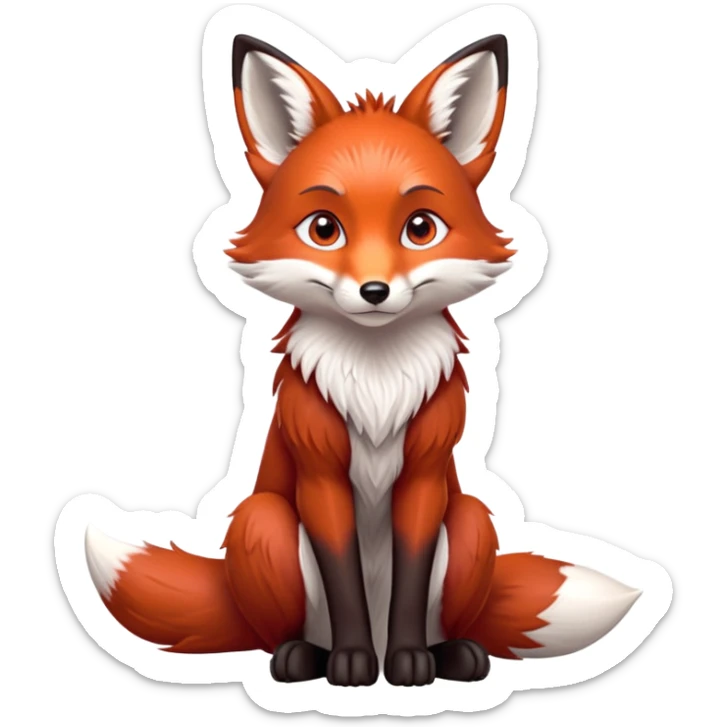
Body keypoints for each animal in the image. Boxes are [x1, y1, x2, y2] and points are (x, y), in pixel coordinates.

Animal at [84, 34, 642, 688]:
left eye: (420, 228)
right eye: (324, 229)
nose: (375, 291)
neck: (376, 387)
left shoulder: (425, 475)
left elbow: (411, 578)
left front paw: (407, 662)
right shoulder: (320, 472)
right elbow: (343, 573)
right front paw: (352, 663)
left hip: (471, 523)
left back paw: (454, 654)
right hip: (262, 523)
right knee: (272, 629)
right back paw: (301, 656)